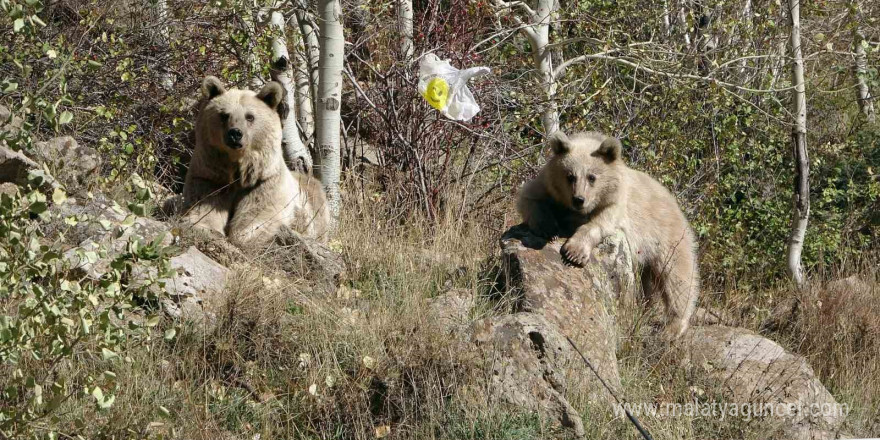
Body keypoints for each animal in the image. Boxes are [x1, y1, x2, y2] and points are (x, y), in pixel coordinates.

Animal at [182, 76, 330, 248]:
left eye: (249, 116)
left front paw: (243, 234)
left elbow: (258, 215)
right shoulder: (210, 177)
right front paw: (205, 227)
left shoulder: (265, 182)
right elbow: (203, 206)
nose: (235, 133)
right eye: (224, 115)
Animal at [520, 131, 696, 340]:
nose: (579, 199)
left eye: (592, 177)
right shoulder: (547, 186)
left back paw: (673, 327)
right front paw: (548, 227)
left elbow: (600, 223)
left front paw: (574, 252)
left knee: (677, 277)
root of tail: (675, 203)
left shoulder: (616, 202)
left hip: (667, 236)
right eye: (570, 176)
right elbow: (529, 198)